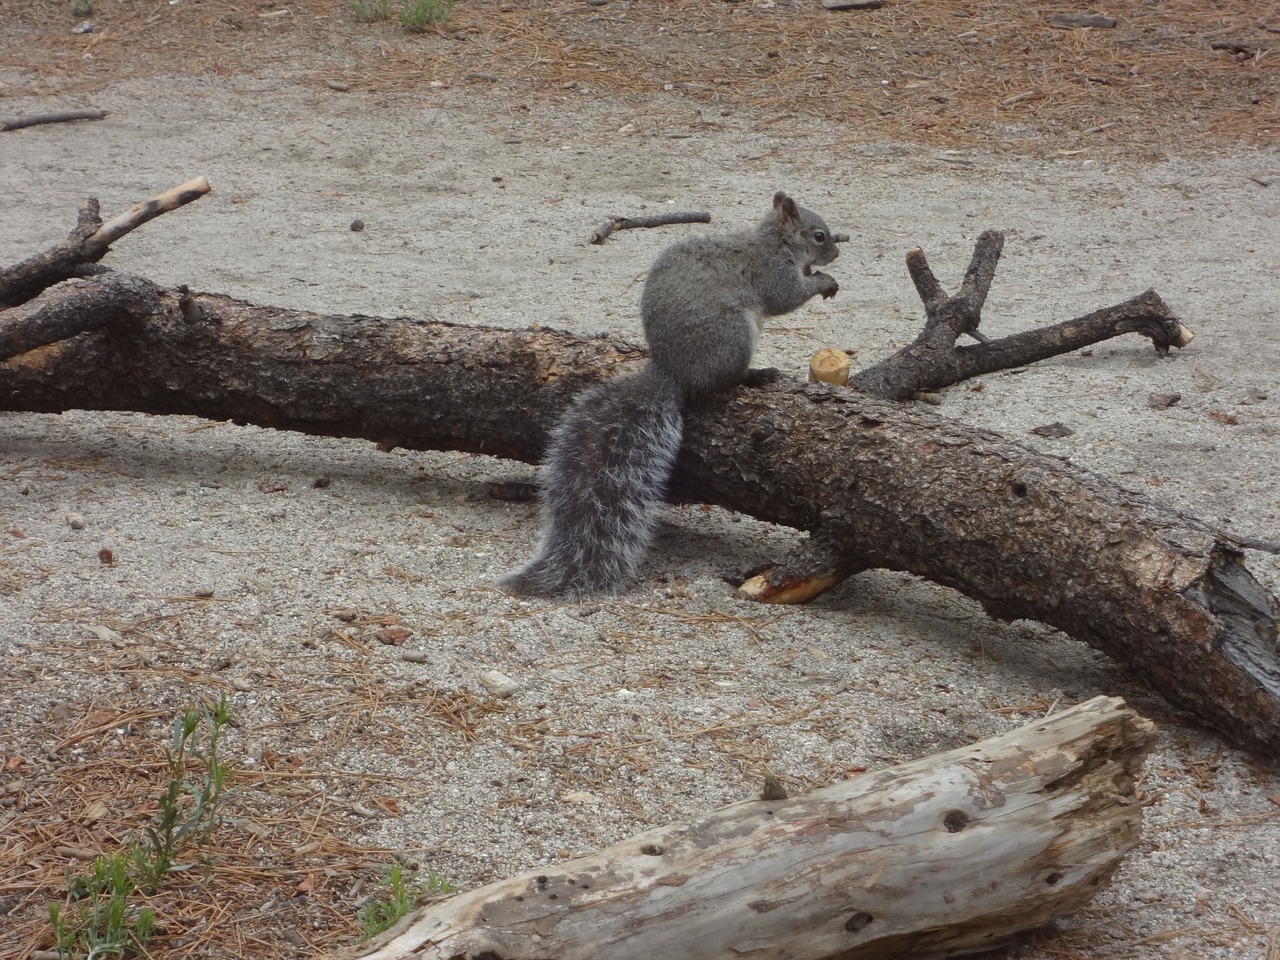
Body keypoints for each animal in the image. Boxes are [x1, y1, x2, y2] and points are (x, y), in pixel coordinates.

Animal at [496, 192, 839, 599]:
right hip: (734, 336)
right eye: (819, 235)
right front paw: (823, 282)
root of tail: (671, 372)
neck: (777, 242)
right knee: (723, 382)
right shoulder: (771, 272)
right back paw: (757, 375)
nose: (835, 252)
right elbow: (786, 298)